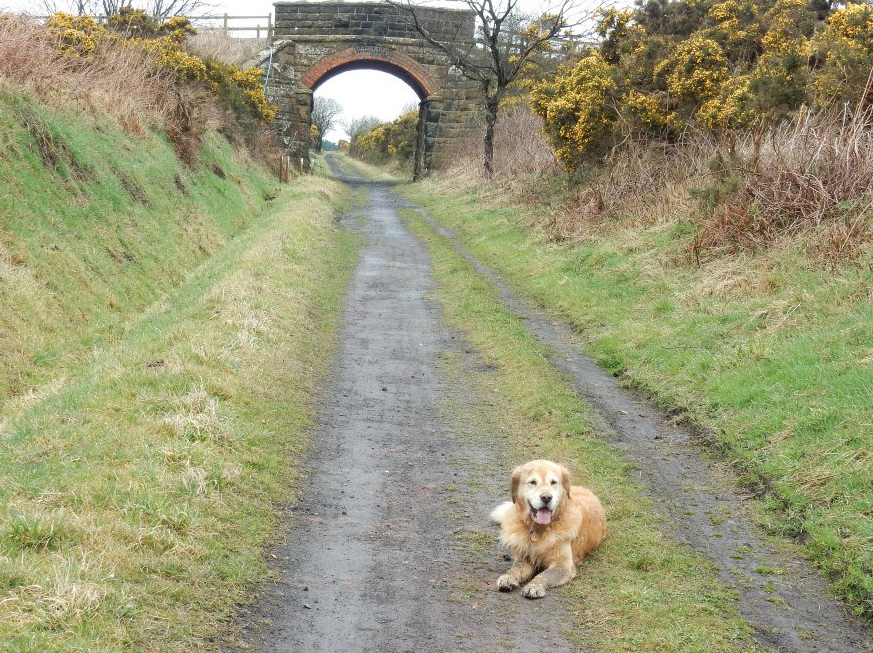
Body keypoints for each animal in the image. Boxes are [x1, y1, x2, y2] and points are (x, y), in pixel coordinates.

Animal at [490, 458, 608, 596]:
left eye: (553, 482)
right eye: (532, 482)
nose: (546, 497)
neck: (538, 530)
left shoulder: (563, 565)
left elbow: (544, 575)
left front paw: (534, 586)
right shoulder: (524, 559)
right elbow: (515, 568)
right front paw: (507, 578)